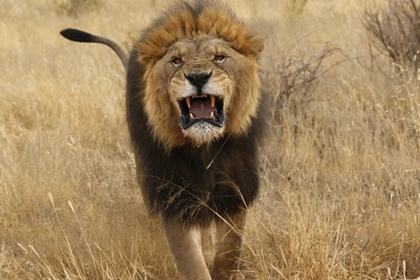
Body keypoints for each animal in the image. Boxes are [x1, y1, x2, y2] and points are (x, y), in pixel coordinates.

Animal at [60, 1, 264, 278]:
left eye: (220, 57)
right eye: (176, 61)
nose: (198, 77)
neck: (202, 149)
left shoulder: (234, 192)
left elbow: (228, 254)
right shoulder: (174, 199)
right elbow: (192, 263)